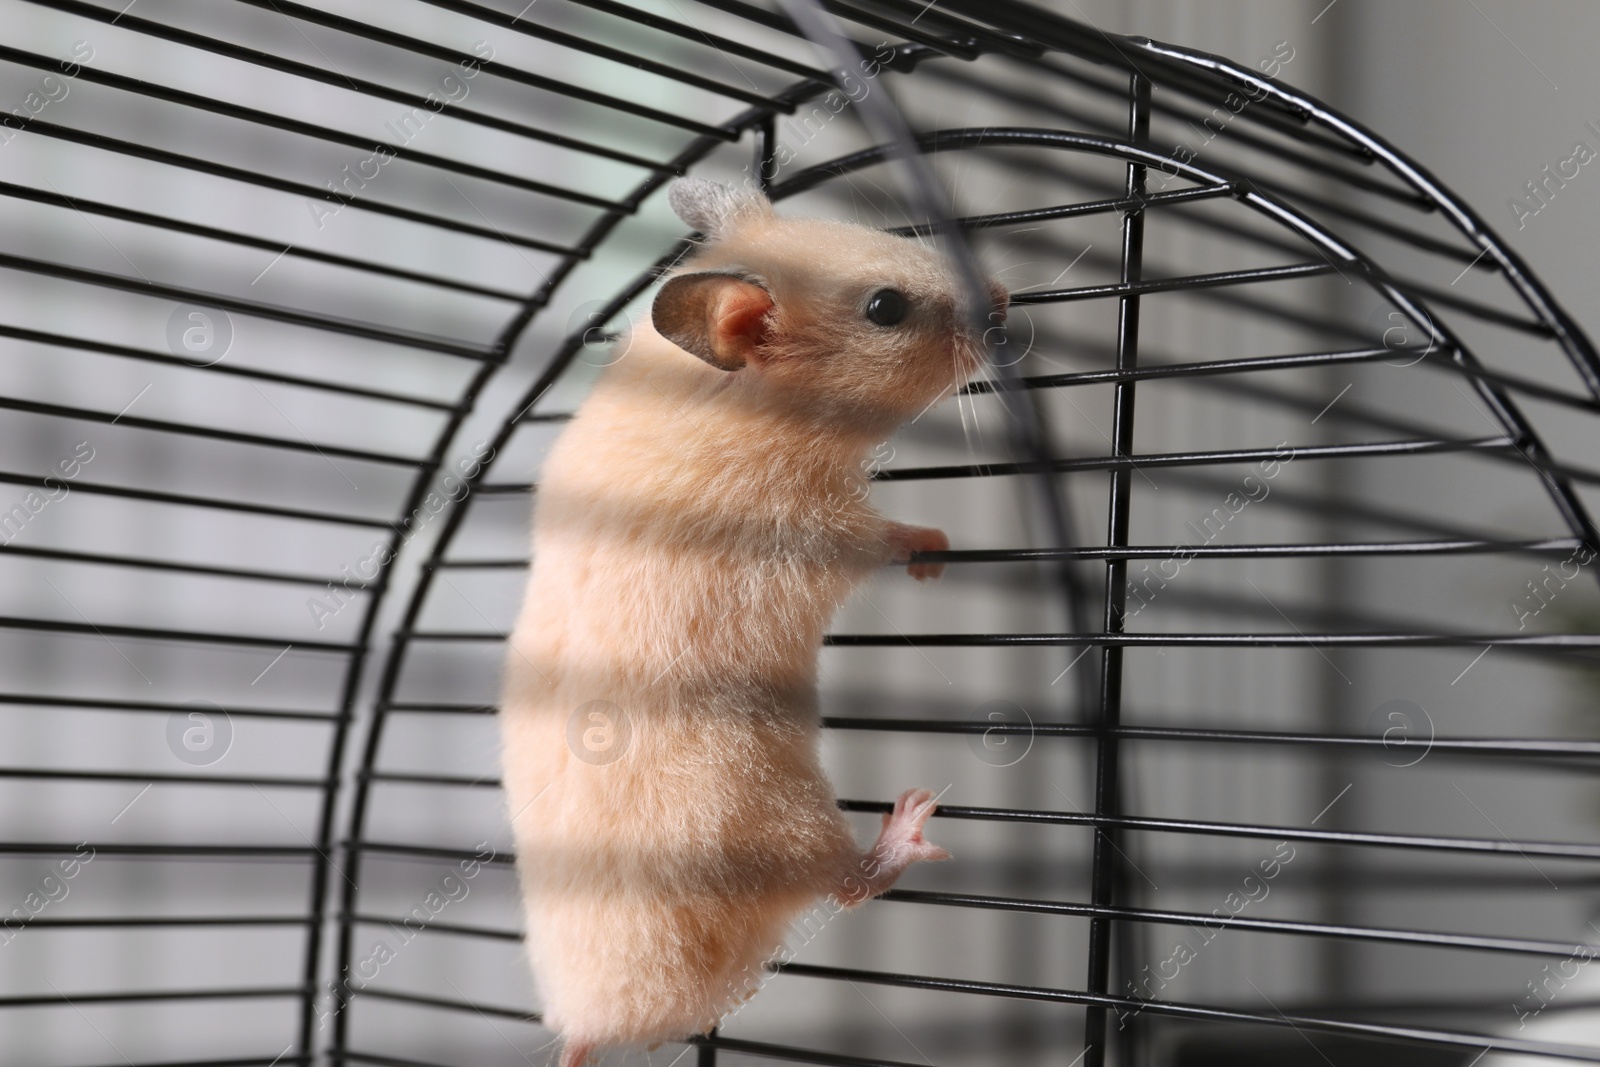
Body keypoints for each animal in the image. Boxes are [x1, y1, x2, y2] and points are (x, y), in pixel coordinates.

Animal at [492, 179, 1004, 1062]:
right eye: (886, 307)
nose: (1006, 298)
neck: (730, 399)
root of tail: (593, 1019)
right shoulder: (814, 526)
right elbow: (885, 536)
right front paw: (936, 550)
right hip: (780, 811)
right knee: (851, 883)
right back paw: (911, 822)